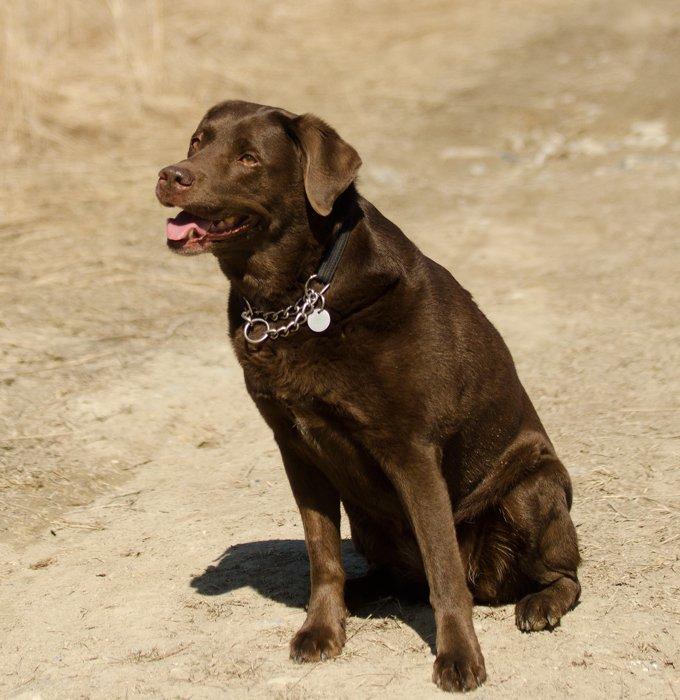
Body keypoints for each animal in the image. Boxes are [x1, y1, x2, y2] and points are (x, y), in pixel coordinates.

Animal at [157, 101, 580, 692]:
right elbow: (322, 557)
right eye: (197, 142)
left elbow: (444, 572)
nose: (170, 175)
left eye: (248, 159)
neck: (301, 295)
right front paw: (321, 628)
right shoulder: (296, 446)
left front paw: (459, 658)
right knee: (392, 575)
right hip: (369, 521)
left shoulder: (412, 450)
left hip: (530, 489)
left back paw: (540, 604)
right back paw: (357, 596)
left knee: (556, 574)